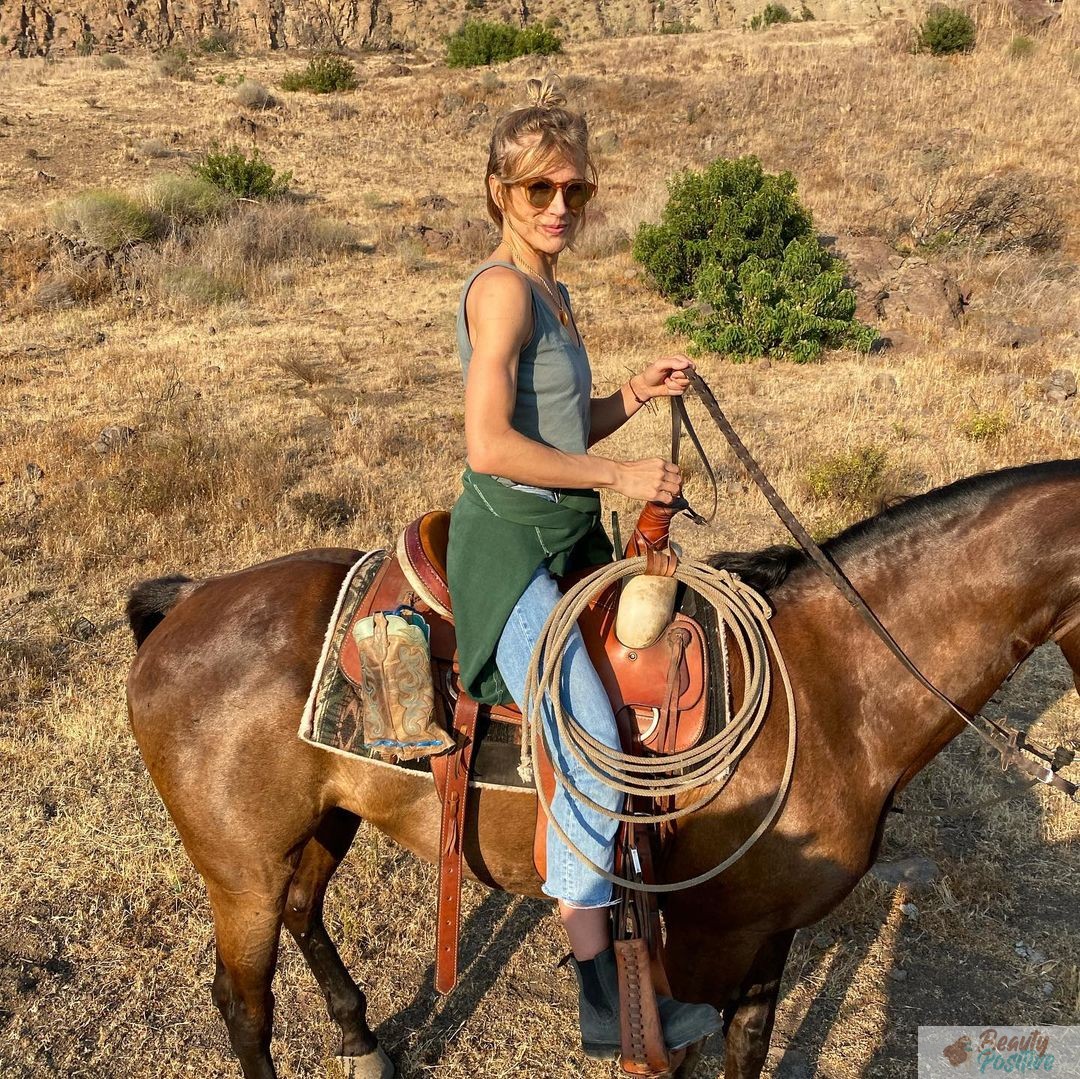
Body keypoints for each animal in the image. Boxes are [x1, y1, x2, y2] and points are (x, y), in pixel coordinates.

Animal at [124, 460, 1080, 1079]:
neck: (829, 682)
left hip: (325, 818)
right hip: (240, 868)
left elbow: (748, 1045)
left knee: (303, 909)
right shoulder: (700, 941)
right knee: (243, 1001)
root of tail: (190, 601)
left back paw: (362, 1043)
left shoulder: (767, 928)